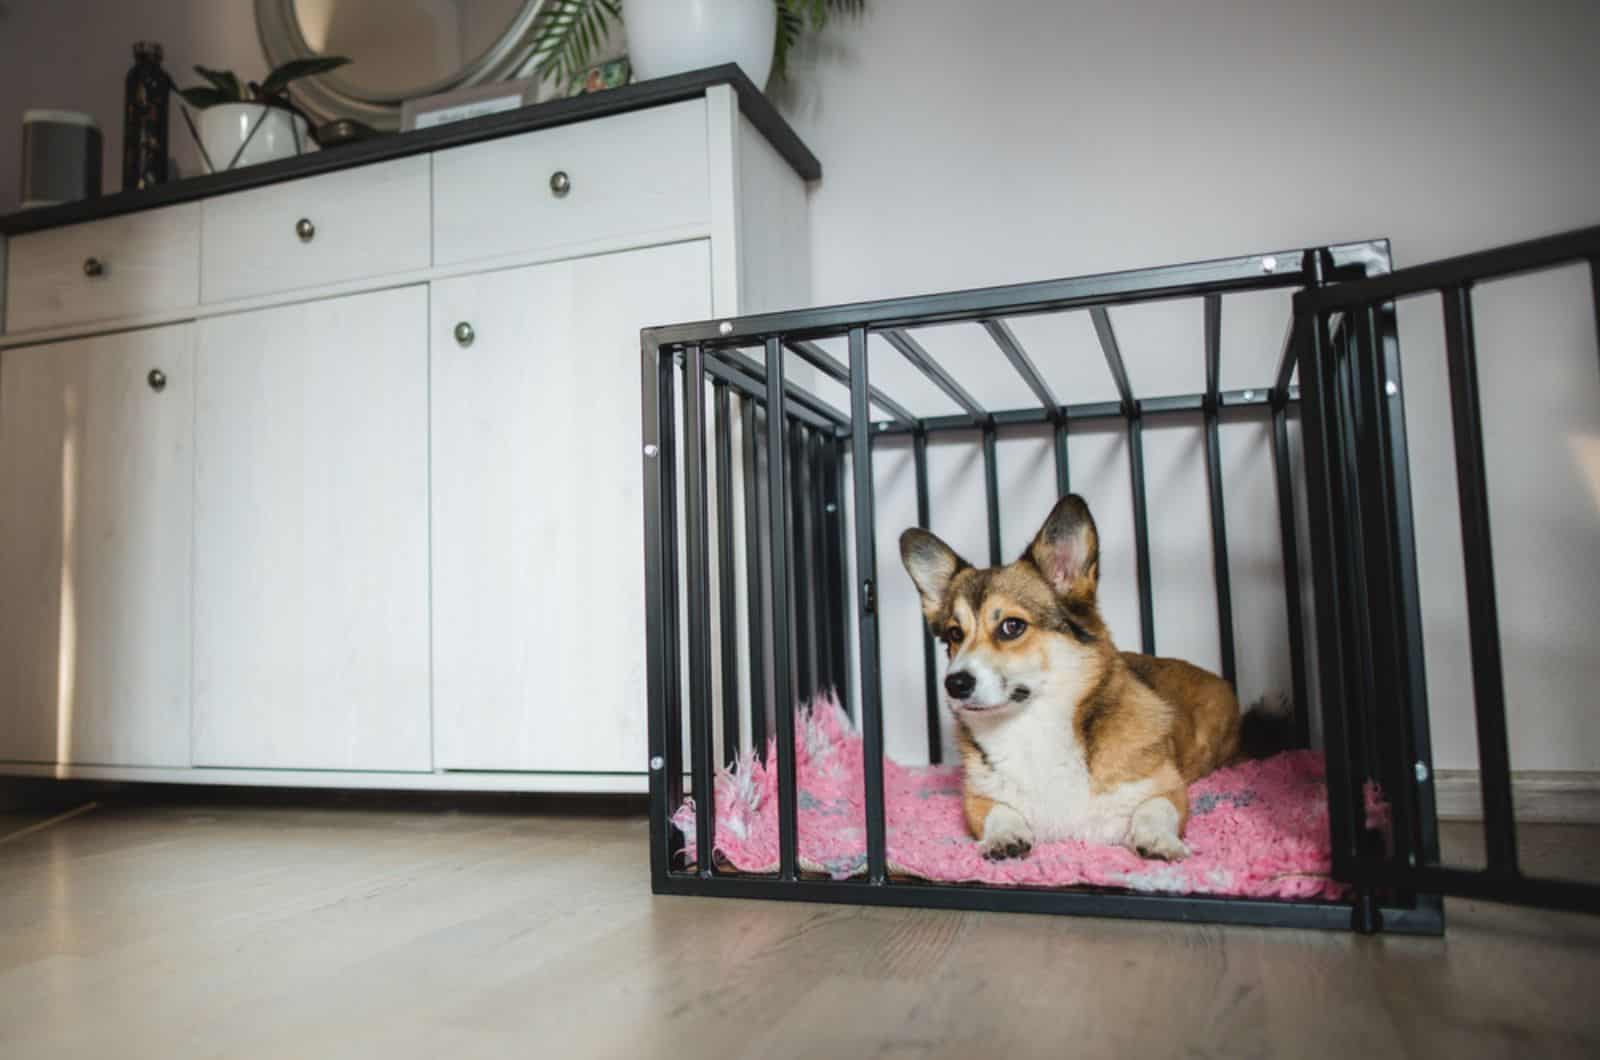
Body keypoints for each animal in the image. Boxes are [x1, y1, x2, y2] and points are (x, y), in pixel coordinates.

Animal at [902, 496, 1260, 864]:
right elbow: (998, 812)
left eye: (1012, 626)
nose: (954, 684)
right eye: (954, 634)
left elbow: (1155, 809)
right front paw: (1004, 838)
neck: (1032, 725)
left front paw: (1159, 841)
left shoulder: (1167, 788)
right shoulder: (978, 799)